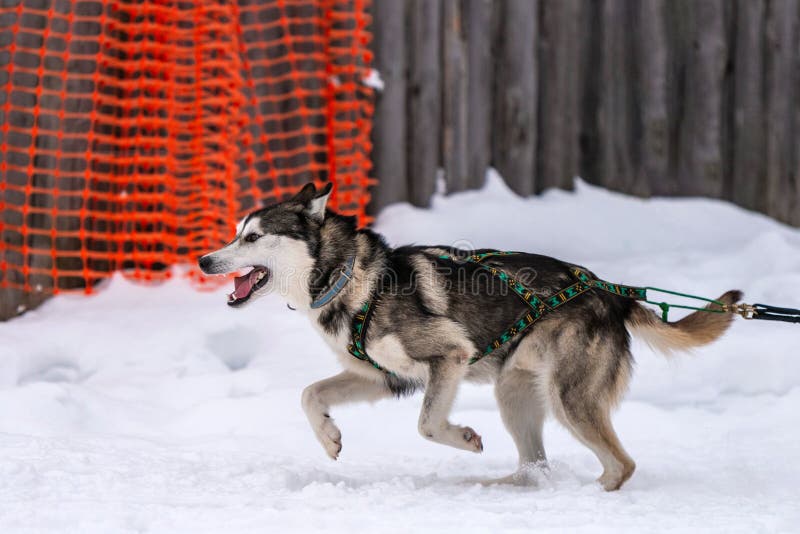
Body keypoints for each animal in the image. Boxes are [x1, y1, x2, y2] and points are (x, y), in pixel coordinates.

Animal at [197, 182, 740, 492]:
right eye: (236, 232)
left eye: (252, 237)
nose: (204, 260)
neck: (351, 276)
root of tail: (610, 292)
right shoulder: (383, 377)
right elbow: (310, 394)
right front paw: (329, 438)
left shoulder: (447, 358)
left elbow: (427, 425)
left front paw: (463, 437)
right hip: (515, 392)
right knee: (535, 466)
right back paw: (498, 486)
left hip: (568, 398)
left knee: (620, 465)